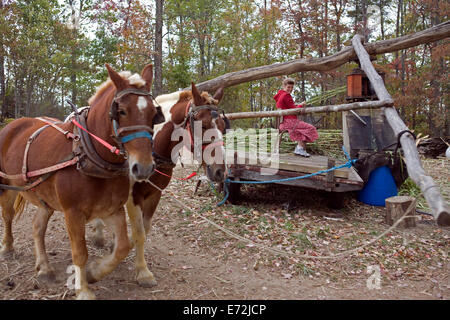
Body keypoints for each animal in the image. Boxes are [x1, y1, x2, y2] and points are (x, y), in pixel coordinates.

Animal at [0, 63, 165, 298]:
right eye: (121, 111)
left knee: (37, 227)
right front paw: (84, 290)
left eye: (153, 113)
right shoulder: (73, 213)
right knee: (7, 215)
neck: (89, 155)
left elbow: (123, 246)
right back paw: (8, 248)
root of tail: (14, 124)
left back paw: (45, 268)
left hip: (45, 199)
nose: (143, 167)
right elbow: (80, 252)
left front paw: (94, 272)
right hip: (8, 186)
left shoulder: (112, 210)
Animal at [92, 83, 229, 288]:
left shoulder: (155, 194)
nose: (220, 171)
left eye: (223, 127)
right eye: (203, 126)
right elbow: (139, 232)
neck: (153, 148)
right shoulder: (133, 196)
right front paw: (143, 272)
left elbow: (144, 230)